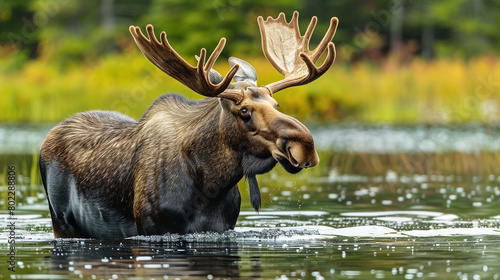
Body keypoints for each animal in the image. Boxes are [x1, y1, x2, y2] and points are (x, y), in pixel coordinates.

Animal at [38, 11, 336, 238]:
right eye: (244, 110)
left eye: (276, 105)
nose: (305, 146)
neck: (212, 184)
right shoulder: (153, 228)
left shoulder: (222, 227)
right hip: (61, 222)